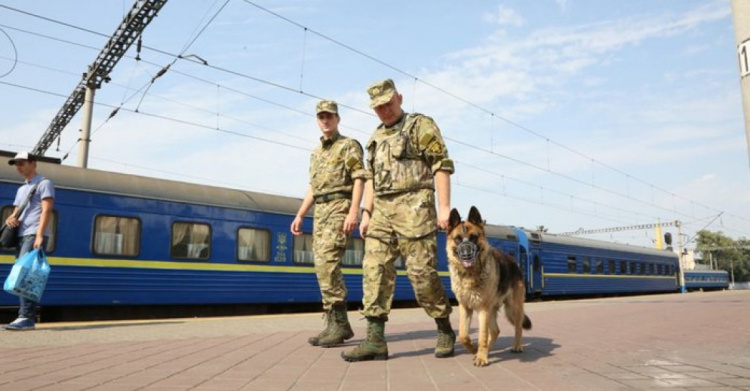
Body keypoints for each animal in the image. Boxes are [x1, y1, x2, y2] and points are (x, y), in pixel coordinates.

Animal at [450, 208, 532, 368]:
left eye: (473, 238)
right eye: (457, 239)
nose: (466, 253)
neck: (470, 275)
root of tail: (513, 261)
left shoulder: (483, 309)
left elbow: (482, 335)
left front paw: (481, 357)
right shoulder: (465, 307)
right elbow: (463, 335)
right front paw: (474, 350)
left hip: (512, 308)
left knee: (517, 326)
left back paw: (516, 346)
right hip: (492, 309)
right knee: (495, 331)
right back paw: (485, 350)